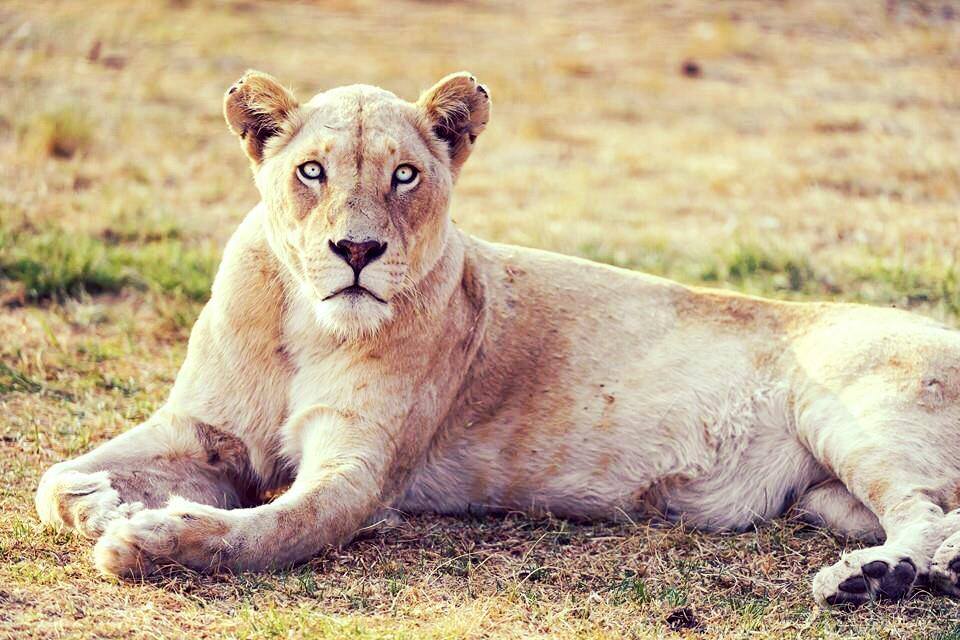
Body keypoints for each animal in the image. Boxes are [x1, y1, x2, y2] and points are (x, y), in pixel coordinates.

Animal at [34, 70, 960, 607]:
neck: (305, 324)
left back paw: (879, 579)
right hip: (824, 497)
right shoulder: (205, 430)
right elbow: (53, 481)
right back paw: (918, 574)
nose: (357, 251)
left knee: (921, 509)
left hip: (850, 412)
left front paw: (150, 539)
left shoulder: (360, 474)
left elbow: (272, 530)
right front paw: (102, 500)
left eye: (406, 175)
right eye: (312, 172)